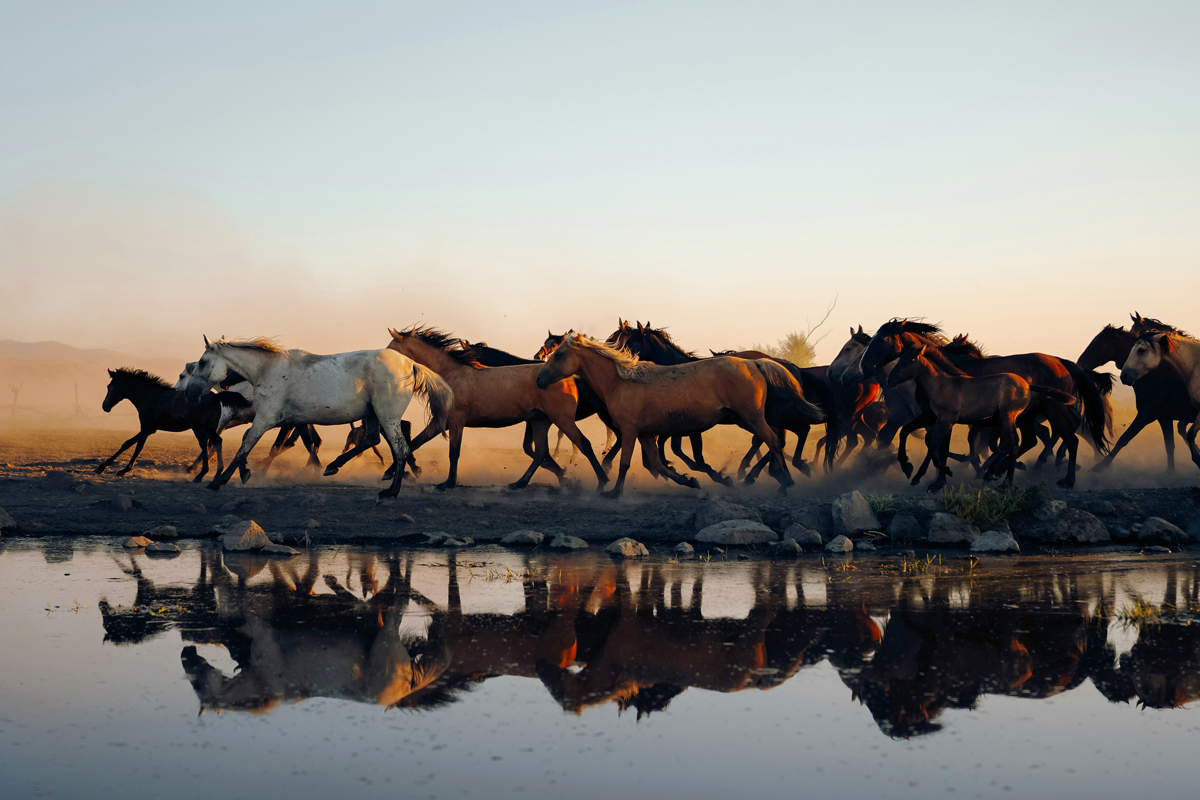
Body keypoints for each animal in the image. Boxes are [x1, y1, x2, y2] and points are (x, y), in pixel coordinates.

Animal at [96, 368, 250, 481]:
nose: (105, 406)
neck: (149, 396)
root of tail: (215, 396)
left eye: (109, 386)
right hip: (209, 427)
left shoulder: (146, 427)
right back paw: (217, 473)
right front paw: (102, 466)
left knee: (204, 443)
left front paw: (124, 470)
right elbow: (127, 443)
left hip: (198, 426)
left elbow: (138, 446)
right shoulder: (150, 428)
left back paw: (201, 474)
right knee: (217, 442)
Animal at [182, 336, 453, 498]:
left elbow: (245, 445)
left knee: (400, 449)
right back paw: (334, 466)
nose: (189, 393)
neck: (269, 370)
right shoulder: (283, 420)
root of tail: (411, 365)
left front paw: (220, 480)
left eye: (203, 362)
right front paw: (244, 473)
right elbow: (257, 442)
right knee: (372, 440)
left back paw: (391, 491)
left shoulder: (267, 418)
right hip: (373, 414)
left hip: (388, 416)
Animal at [382, 326, 609, 491]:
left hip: (562, 420)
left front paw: (447, 483)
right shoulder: (441, 422)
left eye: (391, 349)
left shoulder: (455, 422)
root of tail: (570, 378)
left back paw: (602, 481)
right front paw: (394, 472)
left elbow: (453, 453)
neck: (449, 375)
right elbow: (415, 443)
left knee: (583, 444)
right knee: (540, 452)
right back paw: (520, 483)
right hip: (540, 420)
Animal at [536, 333, 803, 497]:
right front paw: (690, 481)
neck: (621, 382)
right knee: (774, 439)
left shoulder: (630, 431)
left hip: (751, 418)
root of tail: (754, 363)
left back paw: (785, 482)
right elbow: (658, 464)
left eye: (558, 354)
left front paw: (613, 493)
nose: (539, 379)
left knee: (773, 440)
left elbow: (625, 462)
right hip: (744, 418)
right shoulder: (646, 434)